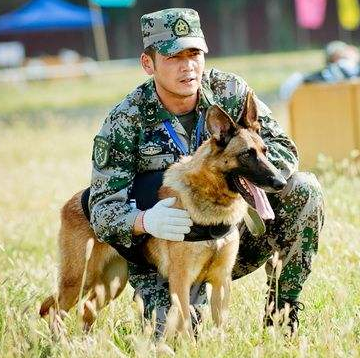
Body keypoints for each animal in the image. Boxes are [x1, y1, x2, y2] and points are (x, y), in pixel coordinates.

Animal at [40, 91, 286, 336]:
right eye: (247, 154)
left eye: (265, 151)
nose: (281, 182)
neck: (208, 196)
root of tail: (75, 200)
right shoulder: (181, 282)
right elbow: (186, 326)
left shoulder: (220, 283)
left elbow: (219, 329)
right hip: (80, 279)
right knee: (54, 308)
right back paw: (60, 341)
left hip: (111, 282)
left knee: (86, 308)